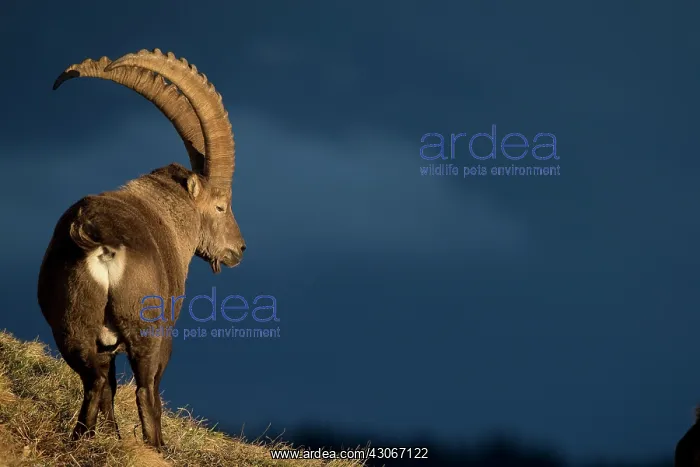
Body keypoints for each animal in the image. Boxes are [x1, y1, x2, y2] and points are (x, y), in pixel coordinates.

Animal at [37, 49, 245, 449]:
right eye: (221, 207)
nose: (238, 249)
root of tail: (100, 242)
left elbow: (109, 388)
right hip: (147, 330)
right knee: (145, 389)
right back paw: (157, 448)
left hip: (71, 326)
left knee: (96, 381)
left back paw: (84, 440)